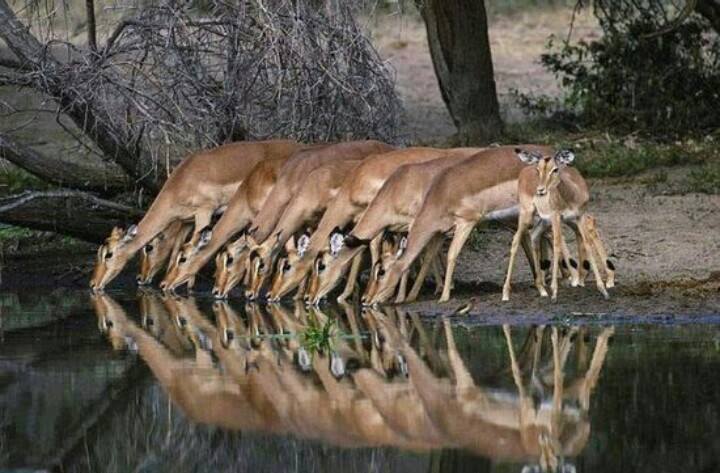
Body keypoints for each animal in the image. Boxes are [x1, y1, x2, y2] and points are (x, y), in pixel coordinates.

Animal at [362, 145, 557, 305]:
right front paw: (411, 297)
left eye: (381, 271)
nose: (366, 299)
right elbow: (428, 258)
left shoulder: (466, 222)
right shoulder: (440, 232)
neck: (443, 192)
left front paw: (444, 296)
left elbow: (451, 255)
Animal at [501, 148, 614, 302]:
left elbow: (587, 243)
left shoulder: (579, 216)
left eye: (555, 169)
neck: (571, 194)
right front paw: (555, 292)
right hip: (527, 216)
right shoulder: (556, 217)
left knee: (534, 236)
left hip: (544, 221)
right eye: (538, 170)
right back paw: (506, 293)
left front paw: (603, 290)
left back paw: (542, 289)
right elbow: (557, 245)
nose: (540, 190)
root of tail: (524, 170)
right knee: (515, 241)